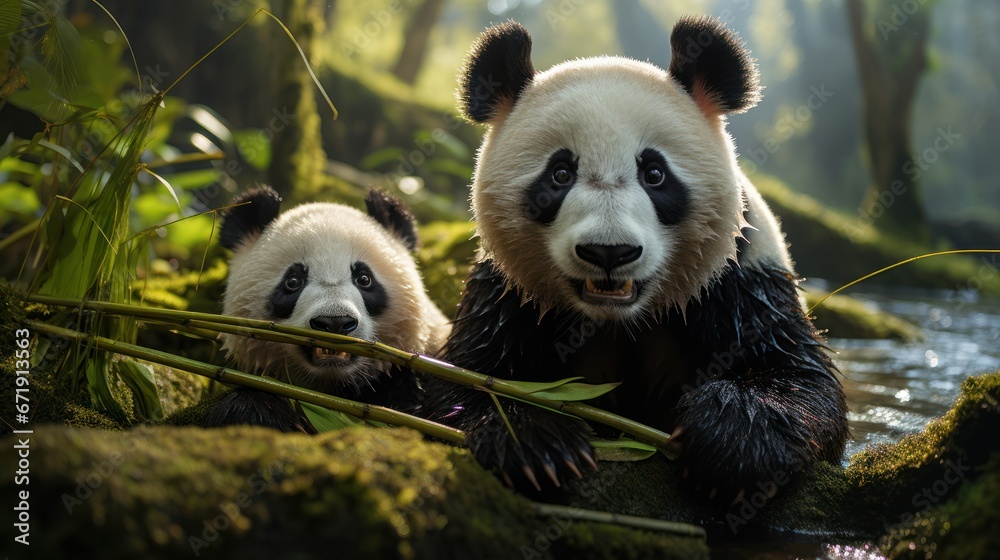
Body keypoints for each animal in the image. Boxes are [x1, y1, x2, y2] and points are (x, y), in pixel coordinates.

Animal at [422, 17, 849, 502]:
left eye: (655, 173)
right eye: (560, 173)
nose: (609, 252)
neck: (619, 318)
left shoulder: (740, 276)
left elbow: (797, 375)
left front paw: (732, 444)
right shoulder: (509, 289)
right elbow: (467, 375)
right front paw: (537, 443)